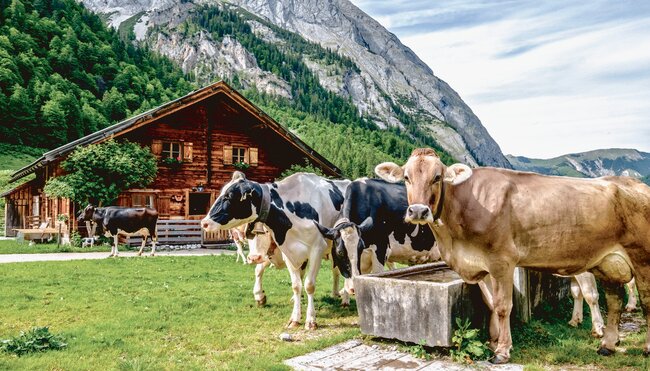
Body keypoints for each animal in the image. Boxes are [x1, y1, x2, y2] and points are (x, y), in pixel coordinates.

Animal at [201, 172, 350, 332]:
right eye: (250, 234)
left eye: (229, 196)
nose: (204, 222)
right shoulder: (289, 253)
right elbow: (296, 285)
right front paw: (294, 318)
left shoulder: (317, 249)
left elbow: (309, 285)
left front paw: (311, 320)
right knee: (336, 271)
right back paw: (336, 293)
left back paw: (345, 298)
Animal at [372, 147, 648, 364]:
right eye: (406, 177)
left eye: (437, 177)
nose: (418, 211)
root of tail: (636, 184)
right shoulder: (481, 265)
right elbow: (490, 304)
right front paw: (494, 341)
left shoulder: (501, 261)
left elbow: (504, 306)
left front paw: (502, 351)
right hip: (607, 263)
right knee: (614, 301)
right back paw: (608, 345)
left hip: (642, 258)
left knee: (644, 302)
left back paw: (641, 347)